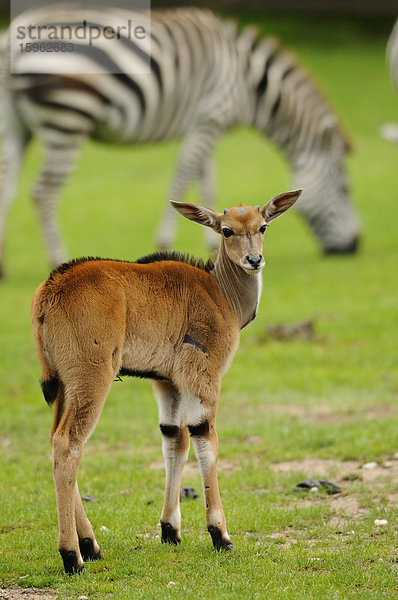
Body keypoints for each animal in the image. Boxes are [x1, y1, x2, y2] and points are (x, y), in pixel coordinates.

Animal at [0, 7, 360, 276]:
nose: (354, 247)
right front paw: (164, 241)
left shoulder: (207, 125)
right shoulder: (209, 118)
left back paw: (3, 267)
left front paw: (212, 239)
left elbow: (207, 184)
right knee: (43, 192)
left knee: (8, 185)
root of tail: (13, 36)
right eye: (345, 189)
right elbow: (185, 175)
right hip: (68, 117)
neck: (249, 83)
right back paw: (57, 258)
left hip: (18, 125)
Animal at [31, 190, 302, 576]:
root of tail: (52, 287)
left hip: (65, 389)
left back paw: (91, 545)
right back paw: (73, 556)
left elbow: (175, 440)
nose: (254, 260)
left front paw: (170, 529)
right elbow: (206, 441)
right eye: (227, 230)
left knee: (58, 443)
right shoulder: (203, 377)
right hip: (91, 380)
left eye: (262, 226)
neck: (219, 292)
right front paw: (220, 535)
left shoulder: (167, 383)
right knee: (68, 444)